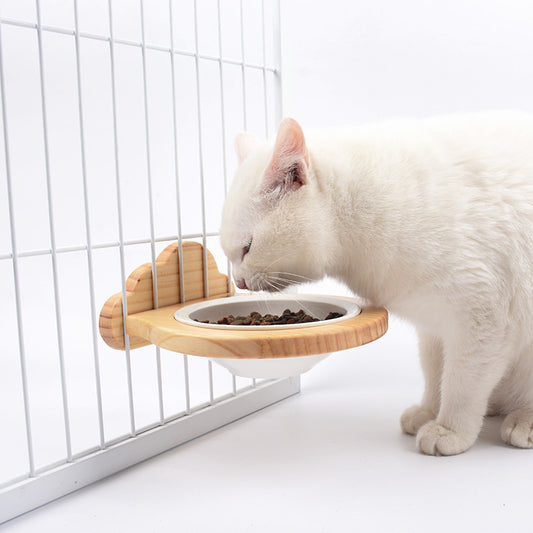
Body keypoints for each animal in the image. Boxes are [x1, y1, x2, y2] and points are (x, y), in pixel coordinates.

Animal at [220, 110, 533, 456]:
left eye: (247, 247)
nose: (239, 281)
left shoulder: (484, 319)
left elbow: (462, 384)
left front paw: (450, 428)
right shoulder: (433, 325)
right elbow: (434, 372)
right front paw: (428, 411)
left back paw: (524, 421)